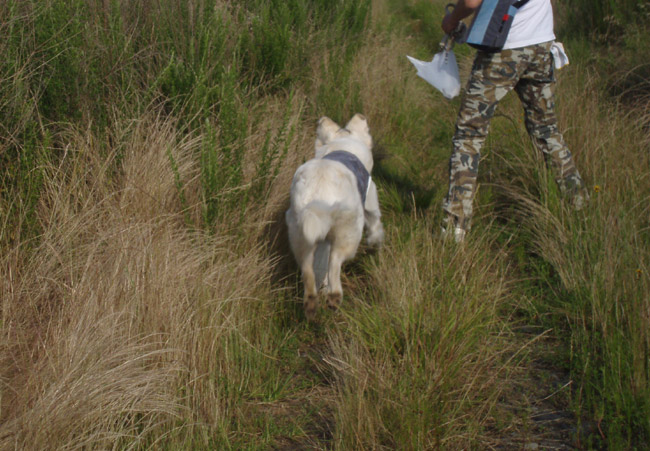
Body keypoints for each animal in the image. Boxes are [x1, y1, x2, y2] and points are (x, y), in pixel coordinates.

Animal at [284, 115, 384, 320]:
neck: (342, 145)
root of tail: (320, 192)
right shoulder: (370, 201)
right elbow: (376, 227)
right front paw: (375, 245)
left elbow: (320, 265)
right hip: (350, 232)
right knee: (335, 262)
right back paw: (334, 297)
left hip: (300, 232)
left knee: (308, 269)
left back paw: (311, 302)